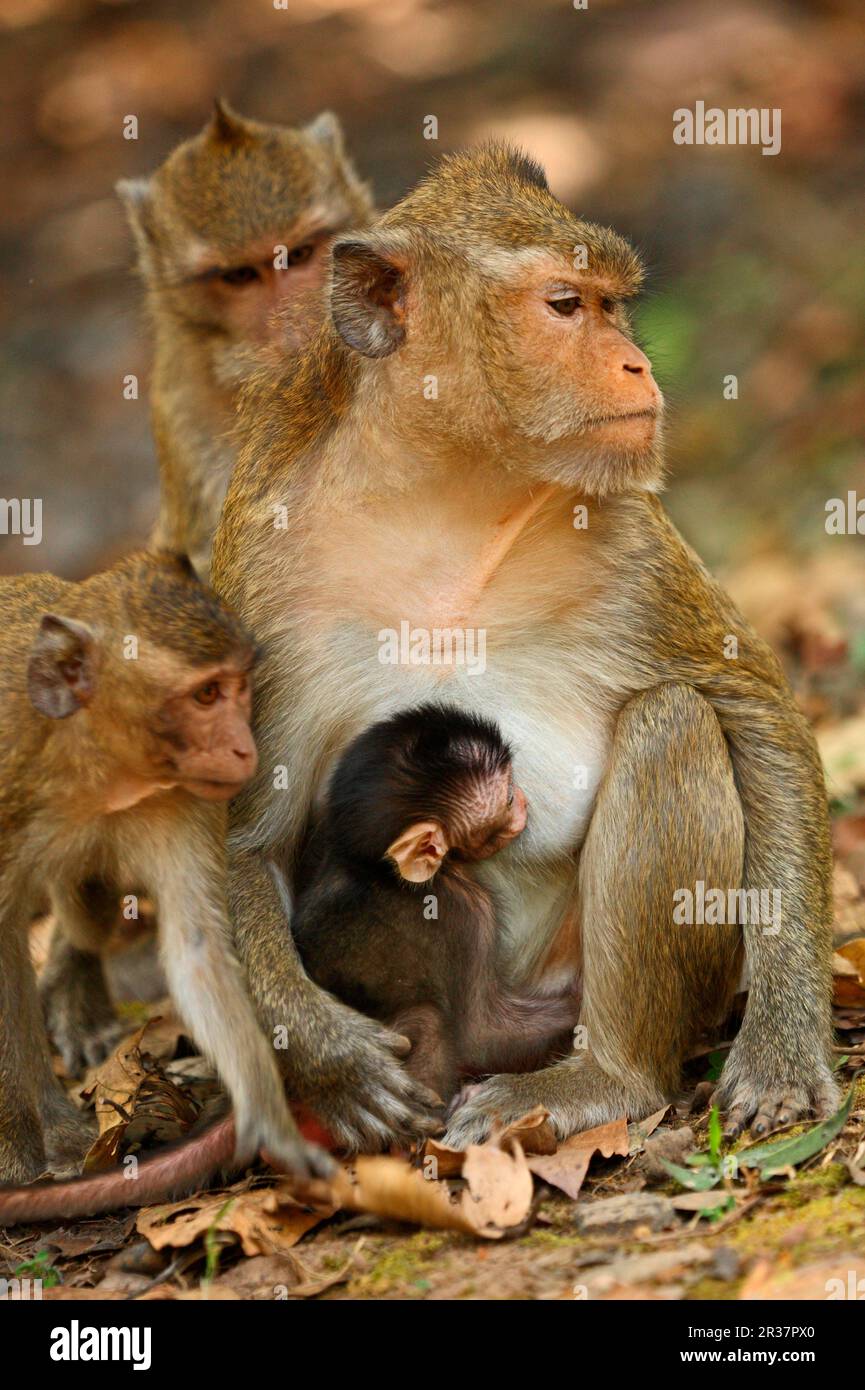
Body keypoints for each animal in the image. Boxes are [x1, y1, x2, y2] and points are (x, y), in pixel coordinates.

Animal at [0, 550, 332, 1225]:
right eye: (205, 694)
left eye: (238, 684)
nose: (245, 746)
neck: (87, 761)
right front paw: (17, 1157)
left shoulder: (182, 800)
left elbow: (197, 951)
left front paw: (270, 1124)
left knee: (88, 910)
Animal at [292, 705, 577, 1102]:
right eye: (507, 798)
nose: (522, 799)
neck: (379, 870)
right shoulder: (468, 912)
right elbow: (482, 1035)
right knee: (428, 1021)